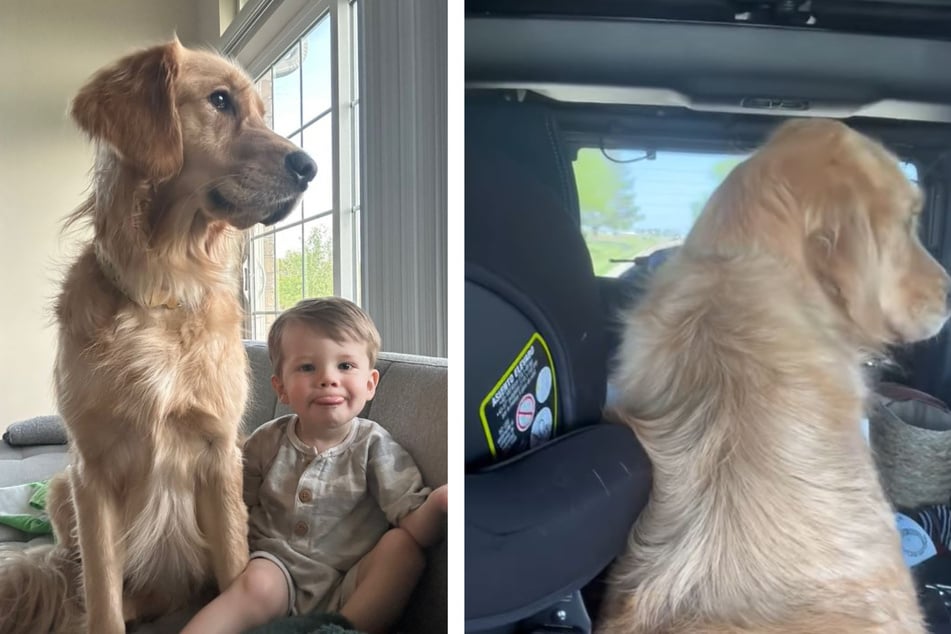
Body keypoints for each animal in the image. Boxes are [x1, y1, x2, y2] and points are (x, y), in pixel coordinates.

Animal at [0, 39, 318, 632]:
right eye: (220, 100)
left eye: (263, 113)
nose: (309, 167)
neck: (163, 290)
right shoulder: (92, 472)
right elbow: (101, 596)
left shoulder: (218, 454)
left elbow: (235, 575)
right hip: (61, 487)